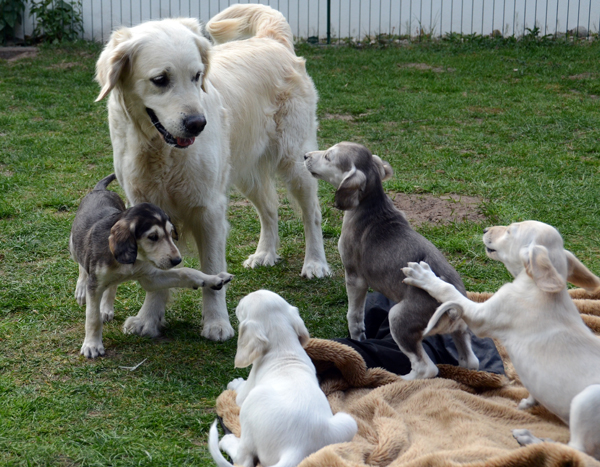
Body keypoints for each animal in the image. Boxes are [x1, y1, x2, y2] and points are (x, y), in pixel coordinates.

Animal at [68, 174, 232, 360]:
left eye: (171, 233)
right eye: (153, 236)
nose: (177, 260)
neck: (134, 259)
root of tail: (99, 189)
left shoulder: (151, 278)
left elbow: (187, 273)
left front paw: (214, 279)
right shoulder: (95, 286)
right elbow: (92, 318)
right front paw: (92, 345)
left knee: (112, 286)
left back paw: (106, 308)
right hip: (74, 245)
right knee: (82, 266)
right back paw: (82, 290)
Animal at [95, 4, 328, 344]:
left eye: (197, 76)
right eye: (160, 79)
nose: (197, 124)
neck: (158, 149)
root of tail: (271, 40)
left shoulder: (209, 208)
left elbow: (213, 265)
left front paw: (217, 323)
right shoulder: (145, 206)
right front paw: (148, 318)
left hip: (295, 160)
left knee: (312, 214)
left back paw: (315, 263)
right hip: (245, 170)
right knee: (270, 209)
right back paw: (265, 253)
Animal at [209, 290, 356, 467]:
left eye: (242, 306)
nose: (240, 300)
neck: (283, 347)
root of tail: (296, 448)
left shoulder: (246, 391)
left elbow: (239, 391)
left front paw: (235, 382)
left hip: (253, 401)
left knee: (243, 457)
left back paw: (228, 440)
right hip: (348, 421)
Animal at [304, 143, 478, 380]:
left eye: (328, 156)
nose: (305, 155)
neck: (372, 204)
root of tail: (452, 306)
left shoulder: (355, 278)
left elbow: (354, 316)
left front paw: (356, 338)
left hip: (397, 318)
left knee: (426, 369)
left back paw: (395, 378)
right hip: (460, 331)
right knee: (470, 361)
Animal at [400, 221, 600, 458]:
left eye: (510, 231)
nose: (485, 230)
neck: (536, 287)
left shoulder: (481, 316)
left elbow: (449, 290)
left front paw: (425, 276)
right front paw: (528, 401)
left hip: (587, 399)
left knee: (577, 451)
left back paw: (531, 440)